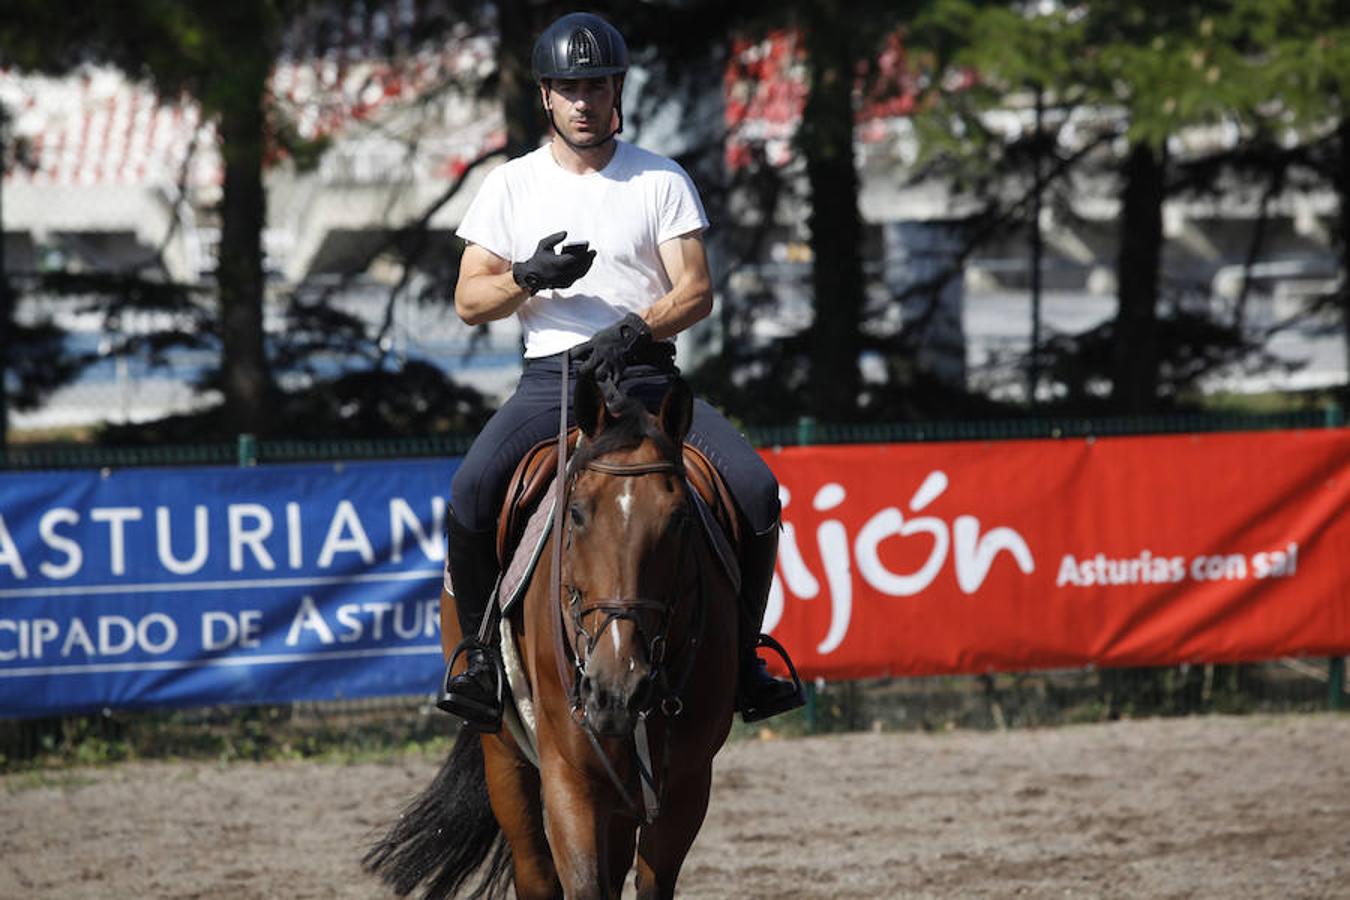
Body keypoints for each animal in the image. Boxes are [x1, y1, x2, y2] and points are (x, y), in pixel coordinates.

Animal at [367, 372, 739, 895]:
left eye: (680, 517)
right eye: (577, 513)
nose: (617, 687)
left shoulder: (686, 785)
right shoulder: (570, 779)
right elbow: (581, 884)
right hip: (505, 756)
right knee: (535, 872)